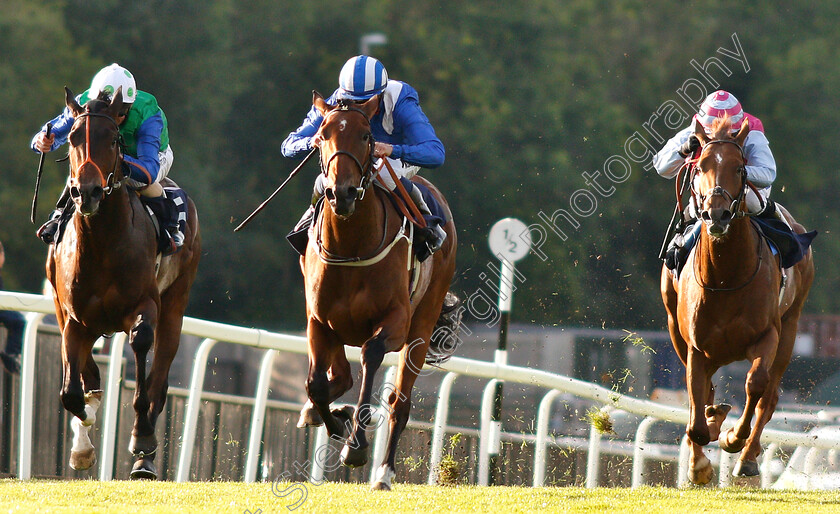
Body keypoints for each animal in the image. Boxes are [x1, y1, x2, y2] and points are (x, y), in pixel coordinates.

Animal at [46, 87, 202, 476]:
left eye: (114, 139)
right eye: (73, 136)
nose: (87, 192)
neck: (102, 243)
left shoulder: (145, 305)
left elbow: (142, 349)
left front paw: (142, 438)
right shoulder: (74, 317)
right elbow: (71, 392)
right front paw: (83, 436)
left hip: (176, 304)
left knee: (160, 375)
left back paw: (145, 457)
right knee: (89, 376)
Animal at [300, 92, 460, 488]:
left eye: (365, 137)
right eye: (322, 136)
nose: (340, 193)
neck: (351, 245)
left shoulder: (396, 321)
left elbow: (371, 355)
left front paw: (355, 445)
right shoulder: (318, 320)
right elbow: (316, 384)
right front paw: (335, 419)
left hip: (422, 325)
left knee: (399, 403)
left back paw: (383, 472)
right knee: (339, 376)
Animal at [664, 116, 812, 484]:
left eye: (740, 168)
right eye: (699, 165)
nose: (716, 214)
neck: (725, 278)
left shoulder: (768, 334)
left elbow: (756, 385)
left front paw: (733, 438)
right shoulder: (695, 345)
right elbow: (696, 404)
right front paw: (699, 461)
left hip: (791, 326)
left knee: (769, 396)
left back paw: (746, 457)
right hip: (676, 328)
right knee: (705, 392)